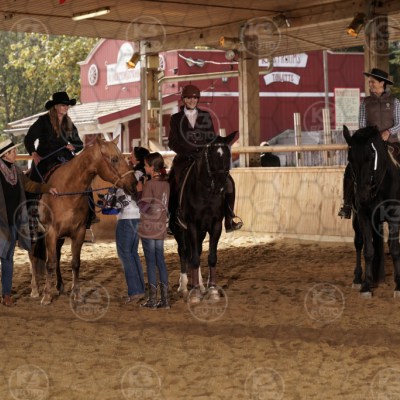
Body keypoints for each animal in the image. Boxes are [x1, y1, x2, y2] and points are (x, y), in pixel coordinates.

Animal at [29, 136, 135, 305]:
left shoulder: (78, 232)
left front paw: (76, 294)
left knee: (57, 256)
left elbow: (75, 263)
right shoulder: (51, 233)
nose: (133, 183)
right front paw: (46, 296)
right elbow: (50, 264)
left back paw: (60, 286)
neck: (66, 191)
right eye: (114, 159)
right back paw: (34, 290)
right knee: (33, 256)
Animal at [169, 131, 237, 303]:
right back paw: (184, 286)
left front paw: (212, 290)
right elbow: (193, 258)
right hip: (179, 229)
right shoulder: (192, 225)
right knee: (184, 252)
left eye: (228, 155)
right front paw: (194, 293)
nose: (221, 186)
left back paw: (200, 285)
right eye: (211, 156)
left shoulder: (215, 225)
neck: (207, 193)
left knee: (196, 251)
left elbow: (211, 257)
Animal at [343, 125, 400, 297]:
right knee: (358, 243)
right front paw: (366, 285)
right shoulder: (364, 216)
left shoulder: (394, 217)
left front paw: (398, 286)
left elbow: (395, 249)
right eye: (350, 159)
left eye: (370, 158)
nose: (362, 195)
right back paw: (357, 278)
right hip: (356, 218)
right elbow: (368, 250)